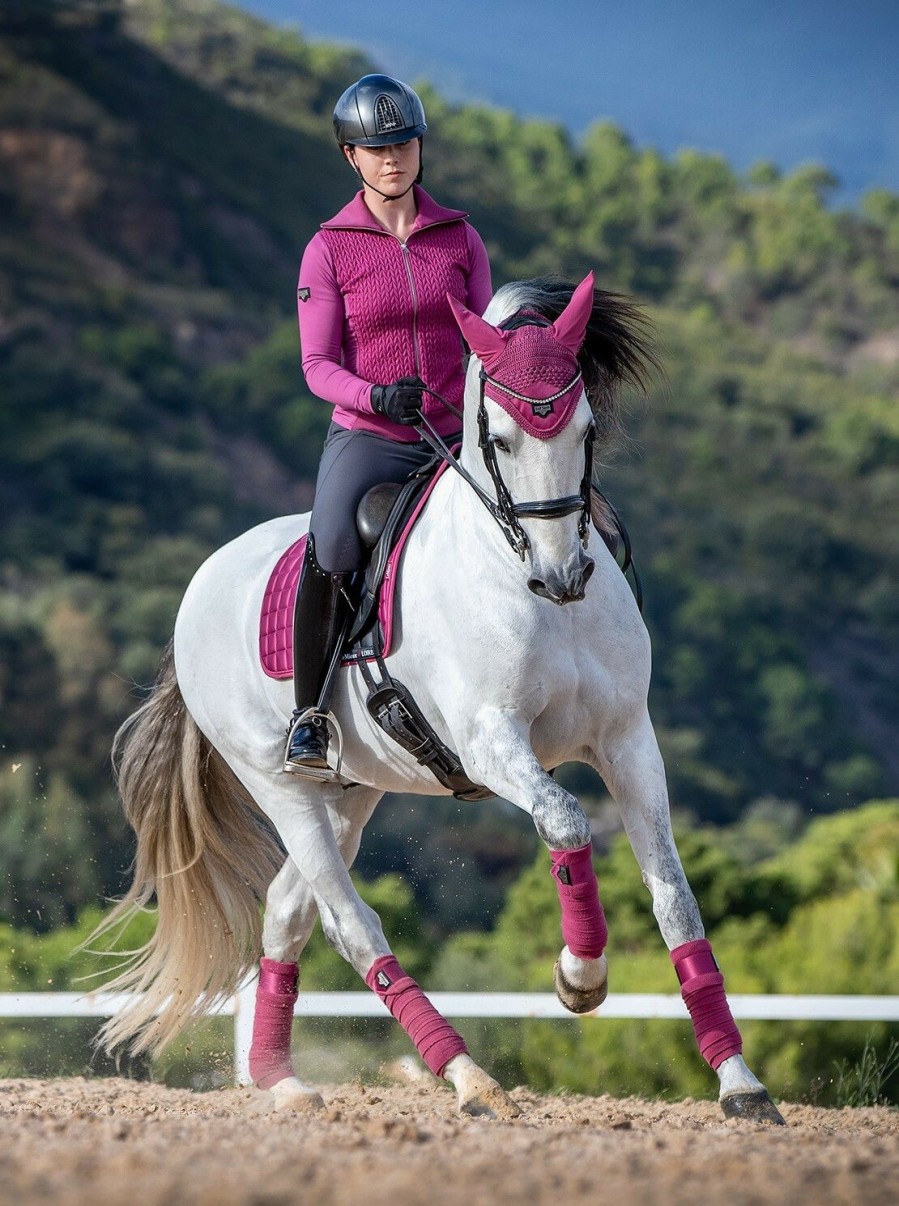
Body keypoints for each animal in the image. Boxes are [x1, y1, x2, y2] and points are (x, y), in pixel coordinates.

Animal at [92, 268, 786, 1123]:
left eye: (585, 429)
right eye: (501, 439)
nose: (562, 577)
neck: (521, 578)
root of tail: (203, 581)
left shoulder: (627, 742)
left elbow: (675, 899)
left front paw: (740, 1083)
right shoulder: (492, 744)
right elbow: (565, 820)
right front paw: (579, 978)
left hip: (352, 790)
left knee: (288, 911)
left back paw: (281, 1080)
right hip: (280, 785)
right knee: (350, 922)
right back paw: (466, 1077)